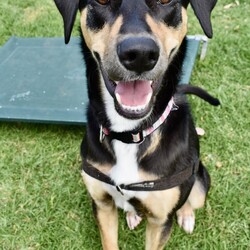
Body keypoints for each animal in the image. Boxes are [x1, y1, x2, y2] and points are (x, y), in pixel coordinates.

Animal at [53, 0, 218, 249]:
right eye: (101, 1)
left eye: (165, 1)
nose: (140, 54)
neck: (130, 134)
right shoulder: (102, 204)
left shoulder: (160, 221)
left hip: (199, 184)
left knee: (190, 199)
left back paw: (186, 214)